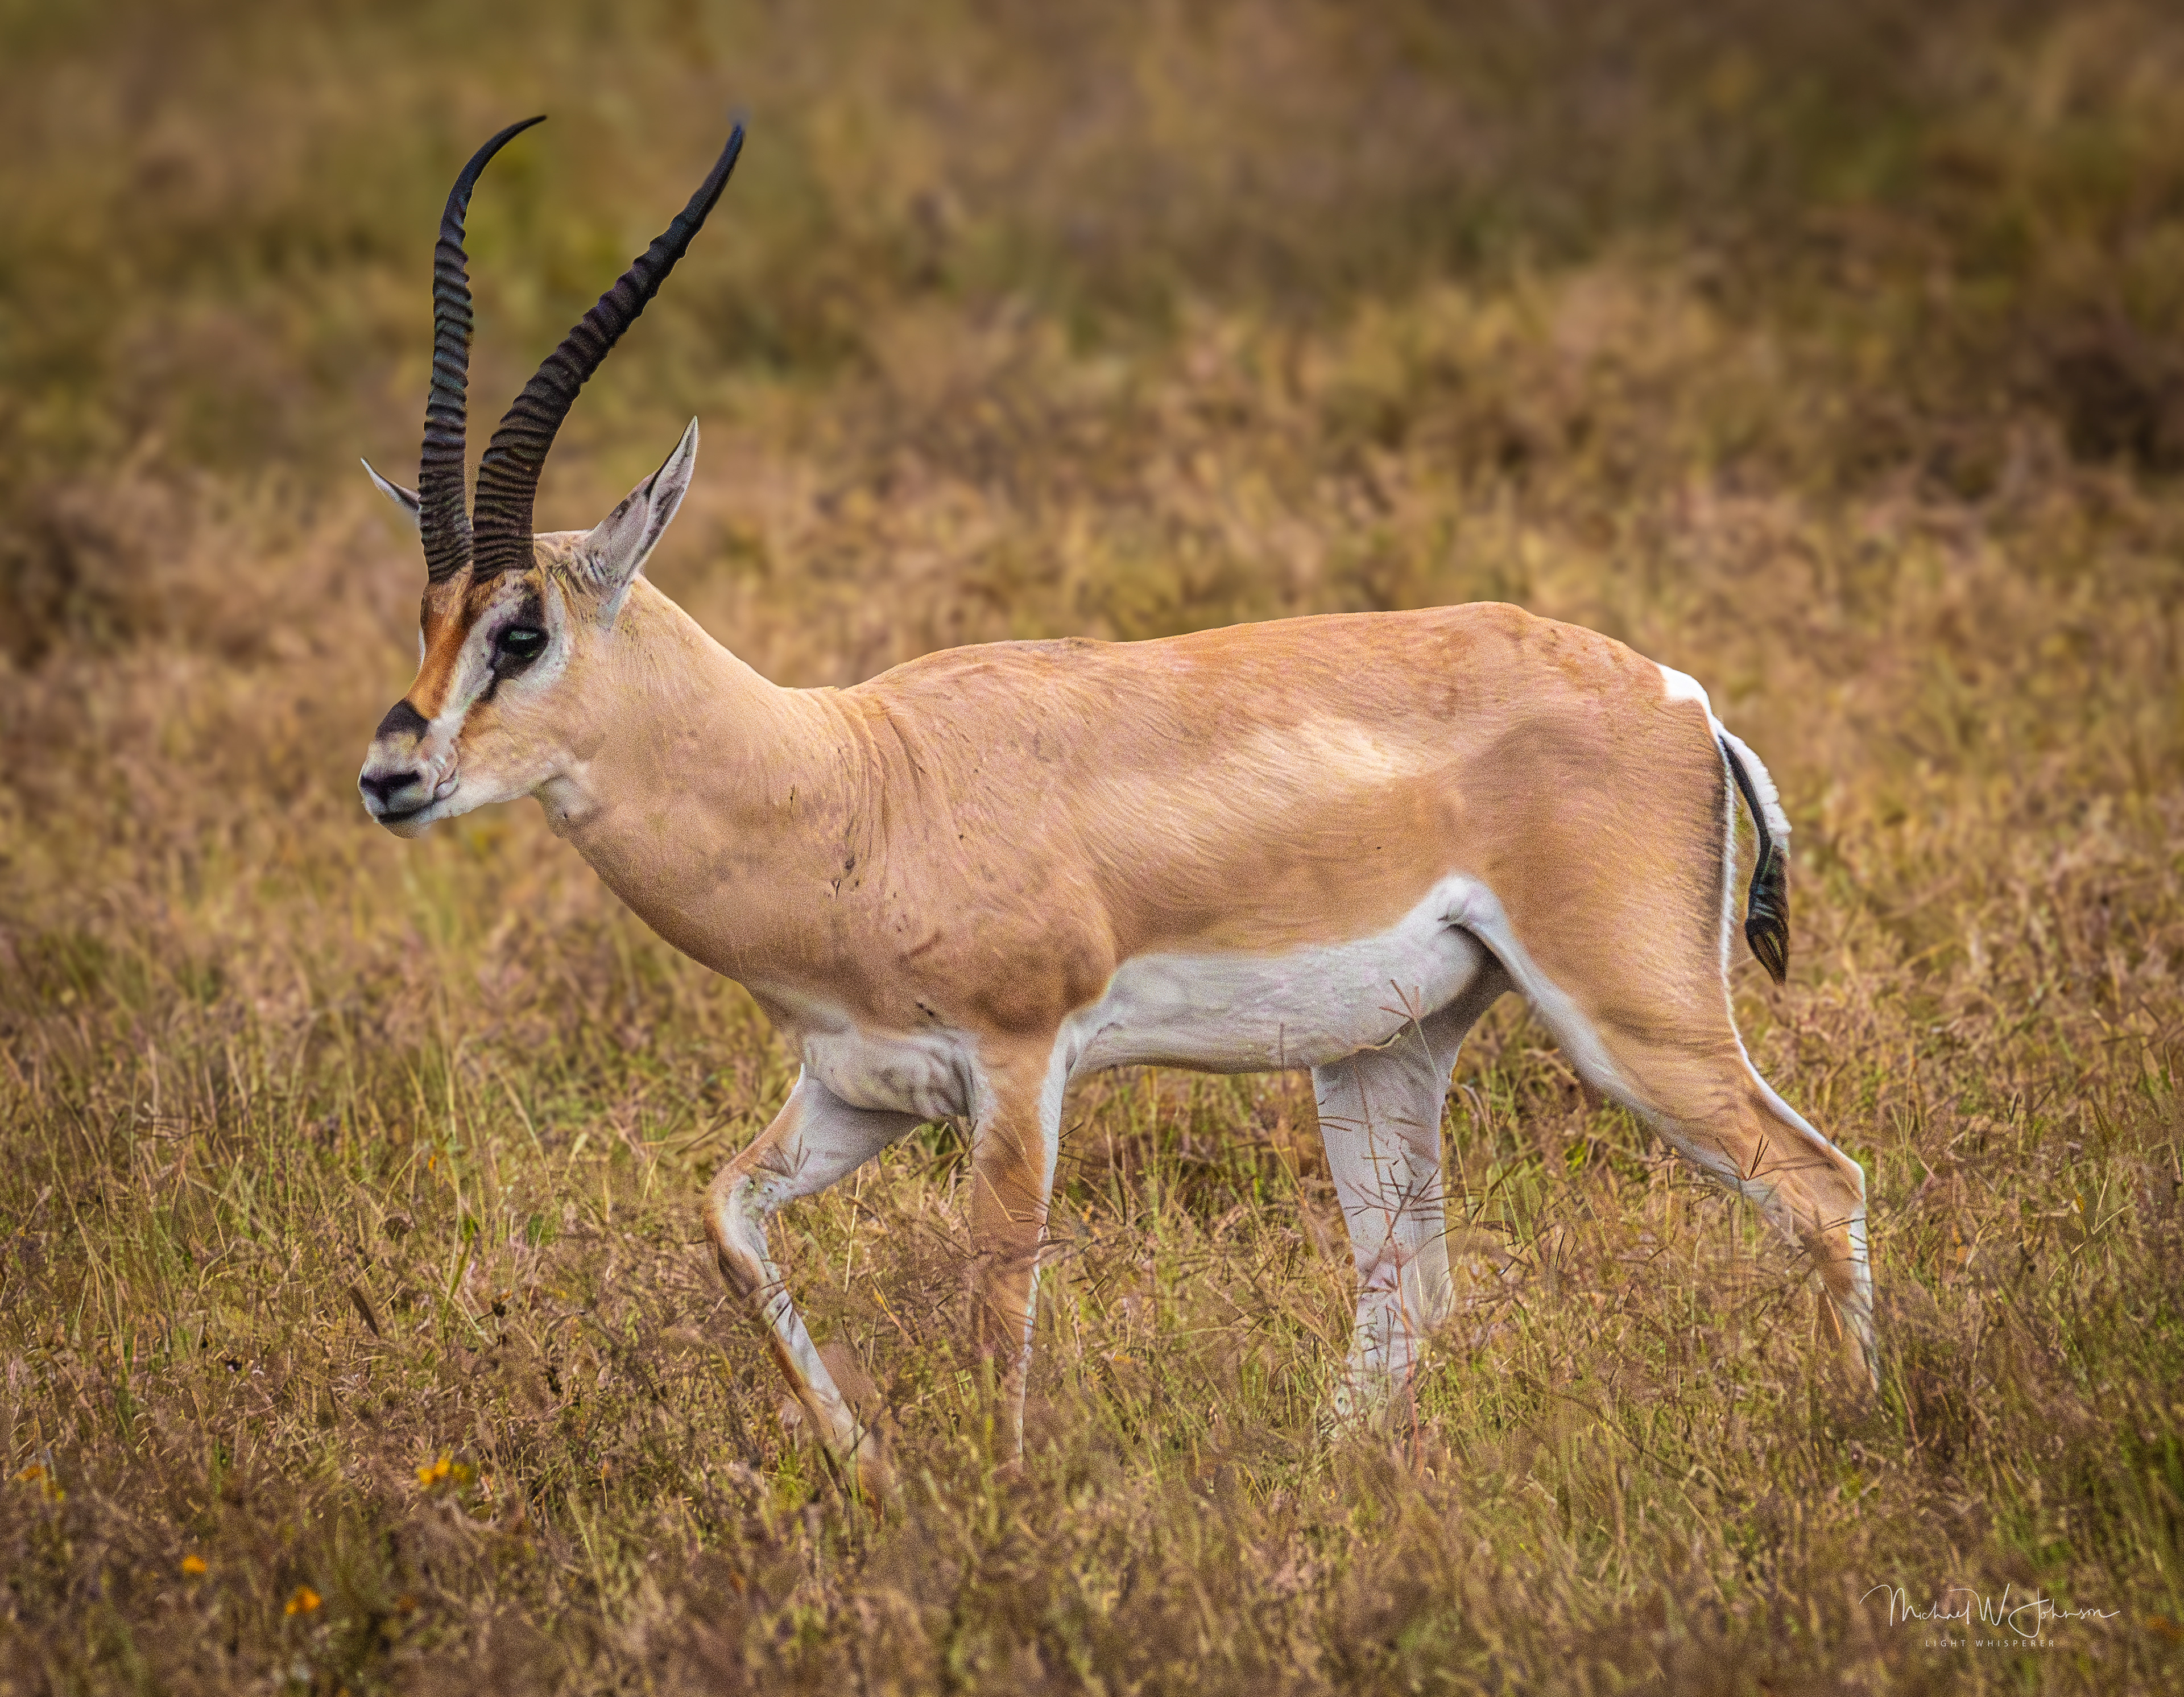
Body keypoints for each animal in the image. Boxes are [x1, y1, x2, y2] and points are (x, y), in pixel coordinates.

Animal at [359, 116, 1877, 1493]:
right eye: (427, 618)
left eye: (521, 632)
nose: (391, 777)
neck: (850, 783)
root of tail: (1681, 697)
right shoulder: (854, 1087)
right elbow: (727, 1222)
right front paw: (872, 1475)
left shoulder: (1019, 1068)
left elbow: (995, 1320)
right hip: (1384, 1052)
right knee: (1408, 1291)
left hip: (1631, 1019)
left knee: (1818, 1186)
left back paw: (1858, 1442)